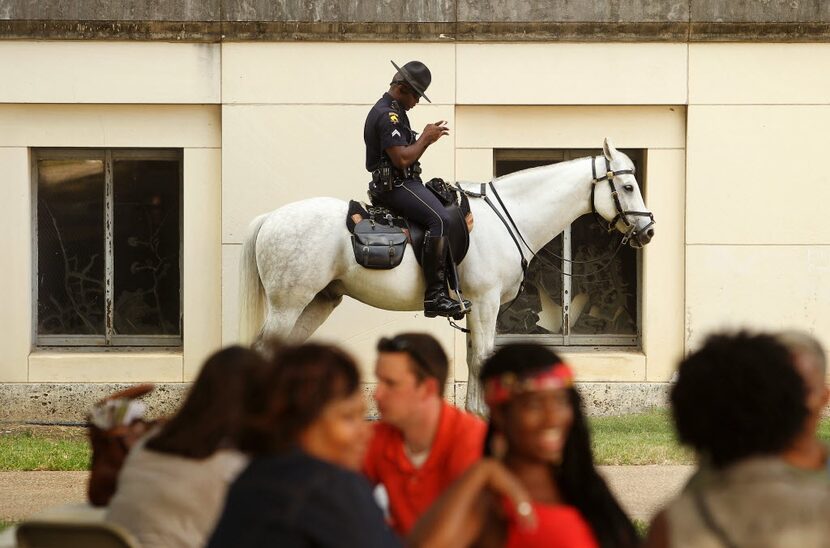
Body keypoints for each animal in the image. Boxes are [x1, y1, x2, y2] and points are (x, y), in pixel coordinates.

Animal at [240, 139, 656, 414]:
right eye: (628, 185)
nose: (648, 230)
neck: (506, 219)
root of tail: (272, 218)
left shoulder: (477, 308)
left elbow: (473, 358)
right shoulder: (486, 304)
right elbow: (483, 358)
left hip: (317, 302)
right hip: (289, 305)